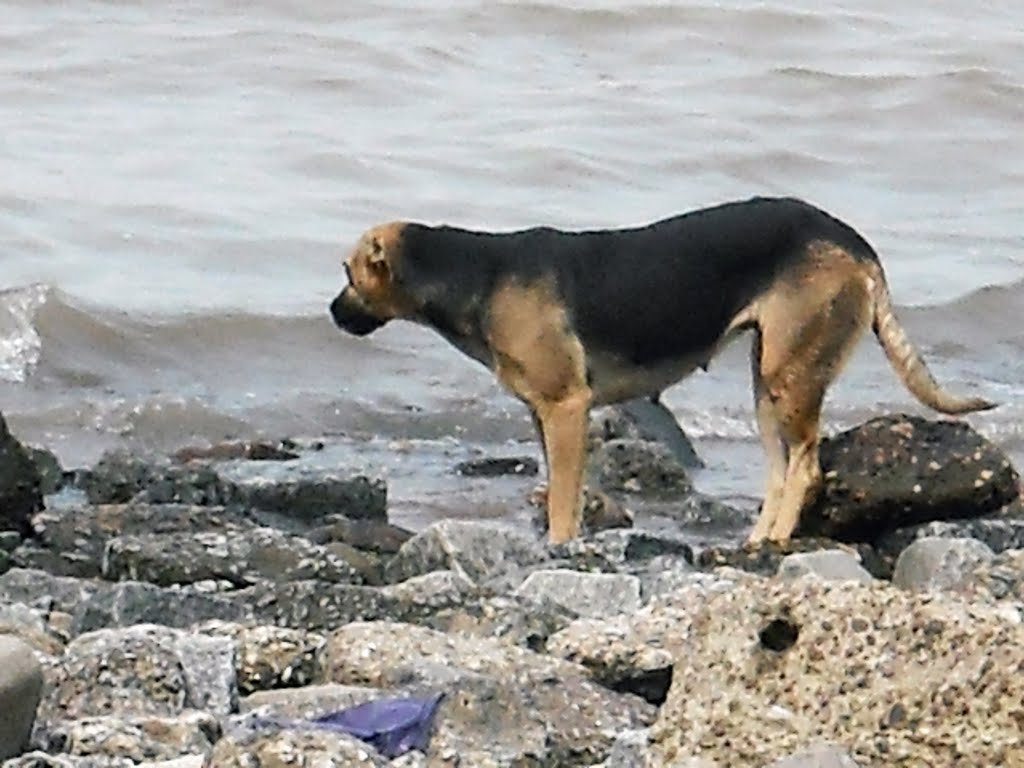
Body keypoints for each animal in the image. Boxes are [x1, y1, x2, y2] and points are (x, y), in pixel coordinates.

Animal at [331, 198, 995, 548]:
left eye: (348, 272)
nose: (332, 314)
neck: (471, 273)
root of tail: (851, 240)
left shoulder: (566, 408)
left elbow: (564, 500)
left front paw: (559, 547)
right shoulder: (543, 416)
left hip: (790, 376)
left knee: (805, 467)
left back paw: (778, 540)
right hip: (766, 383)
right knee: (781, 469)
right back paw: (756, 542)